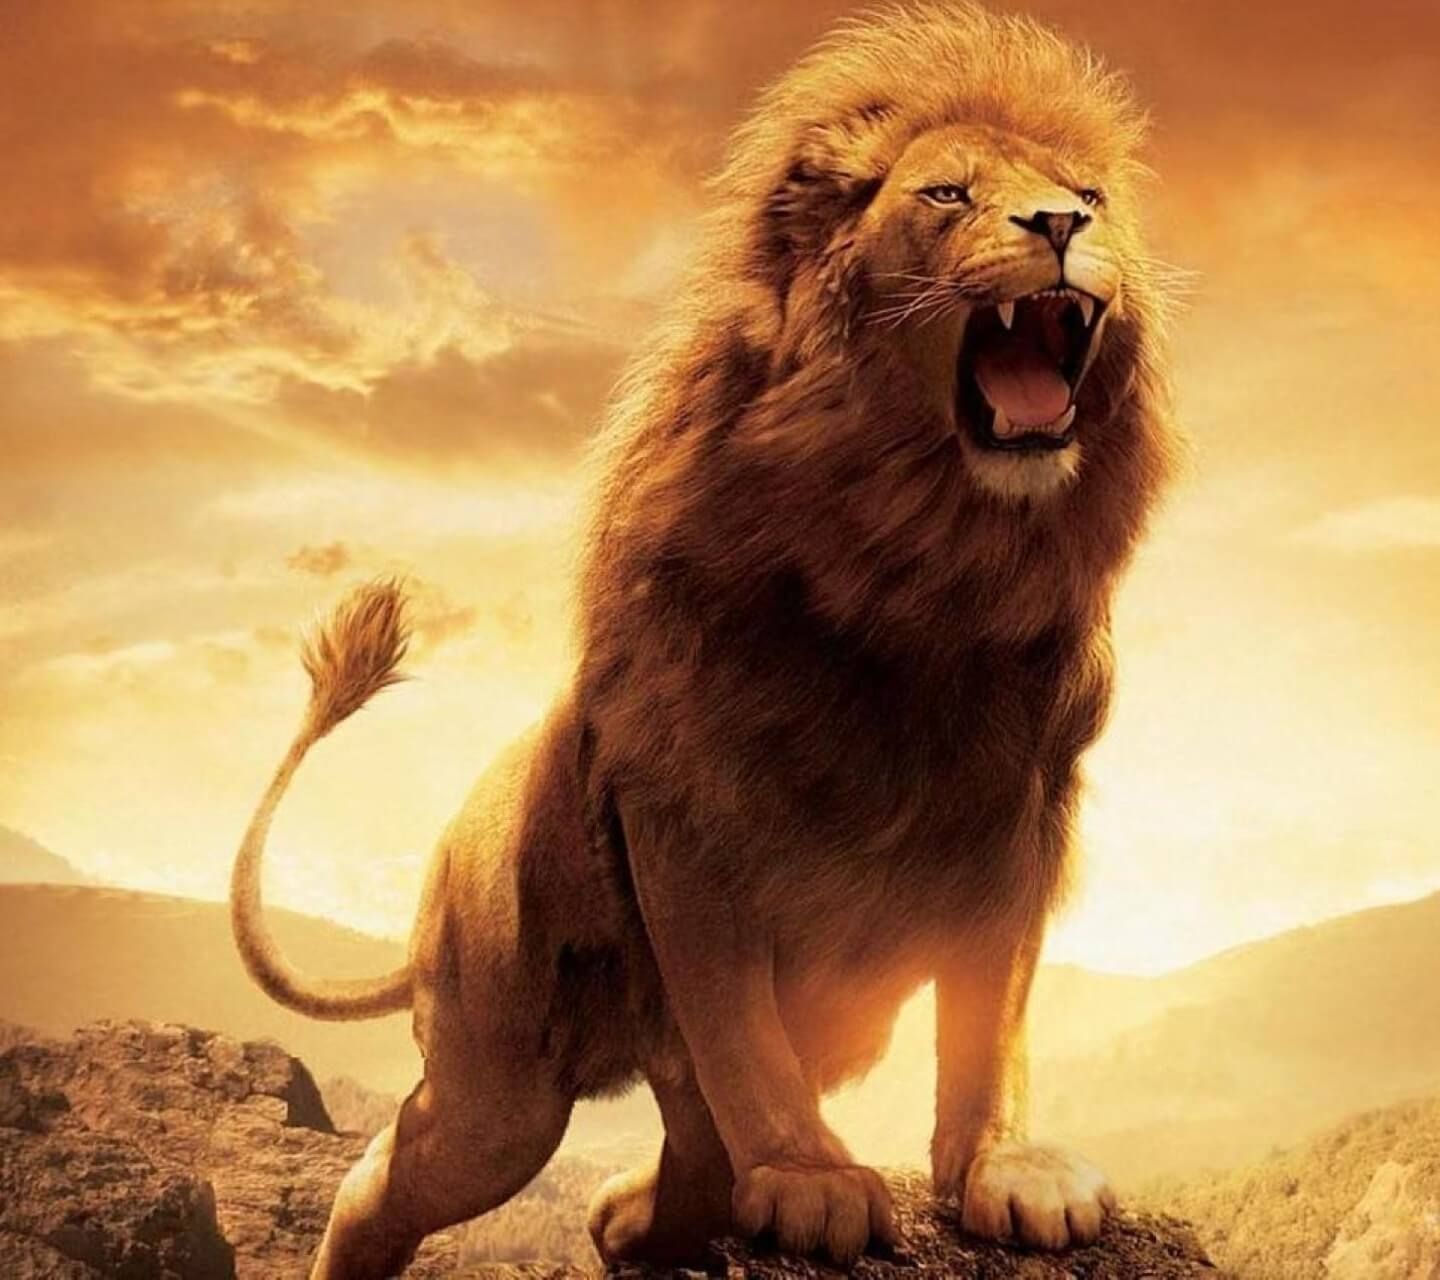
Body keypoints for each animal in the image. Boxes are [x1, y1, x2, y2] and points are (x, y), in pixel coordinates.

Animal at [230, 4, 1178, 1275]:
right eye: (947, 194)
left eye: (1088, 192)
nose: (1062, 225)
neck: (925, 565)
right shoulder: (686, 807)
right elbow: (737, 1022)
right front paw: (813, 1179)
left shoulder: (1020, 806)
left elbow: (993, 1014)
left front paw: (1007, 1167)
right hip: (497, 1080)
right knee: (395, 1173)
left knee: (679, 1149)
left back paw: (633, 1213)